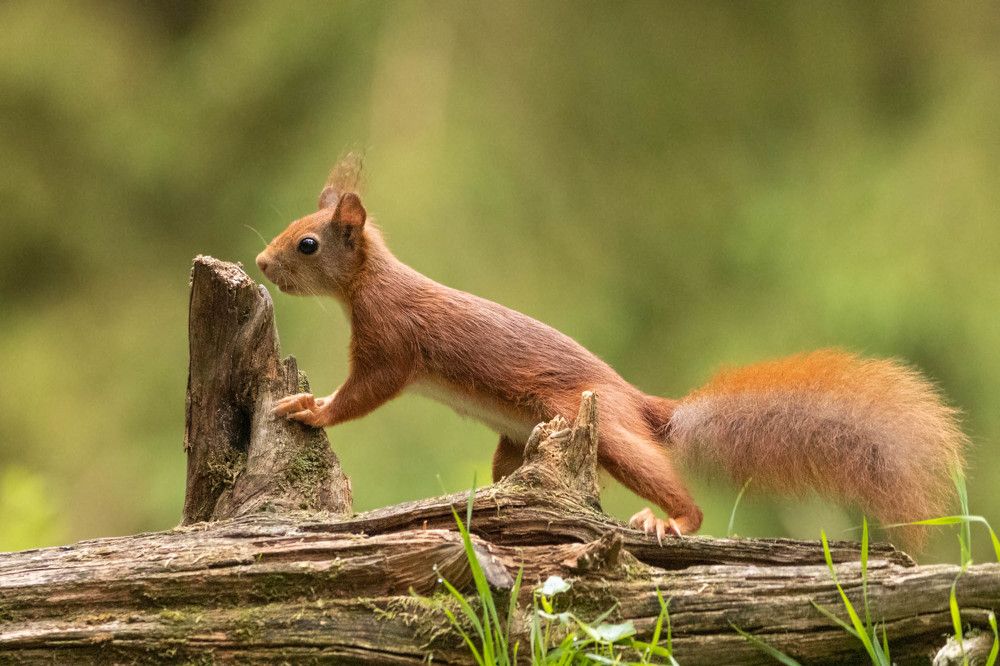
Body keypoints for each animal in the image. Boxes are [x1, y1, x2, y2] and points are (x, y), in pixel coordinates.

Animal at [255, 157, 967, 548]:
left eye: (308, 243)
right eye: (289, 229)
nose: (262, 262)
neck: (372, 282)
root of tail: (639, 402)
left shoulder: (392, 343)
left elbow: (362, 394)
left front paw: (310, 408)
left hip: (606, 429)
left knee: (674, 489)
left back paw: (671, 522)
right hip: (524, 432)